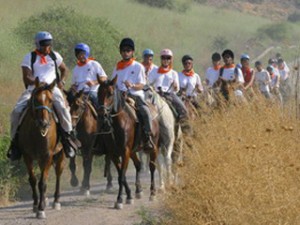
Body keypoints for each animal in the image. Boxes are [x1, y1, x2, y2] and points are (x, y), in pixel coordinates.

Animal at [18, 78, 64, 219]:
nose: (43, 123)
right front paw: (35, 204)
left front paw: (41, 209)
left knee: (58, 174)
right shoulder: (27, 155)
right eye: (36, 100)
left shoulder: (47, 155)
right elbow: (33, 180)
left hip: (60, 155)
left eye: (51, 100)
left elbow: (42, 182)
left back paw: (56, 201)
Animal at [98, 77, 159, 209]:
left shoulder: (125, 151)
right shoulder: (114, 153)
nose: (102, 115)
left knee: (152, 167)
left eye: (110, 93)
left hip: (154, 147)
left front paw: (120, 200)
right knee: (138, 164)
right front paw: (129, 196)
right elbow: (121, 174)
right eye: (98, 93)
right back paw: (138, 190)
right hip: (133, 151)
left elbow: (121, 176)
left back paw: (152, 193)